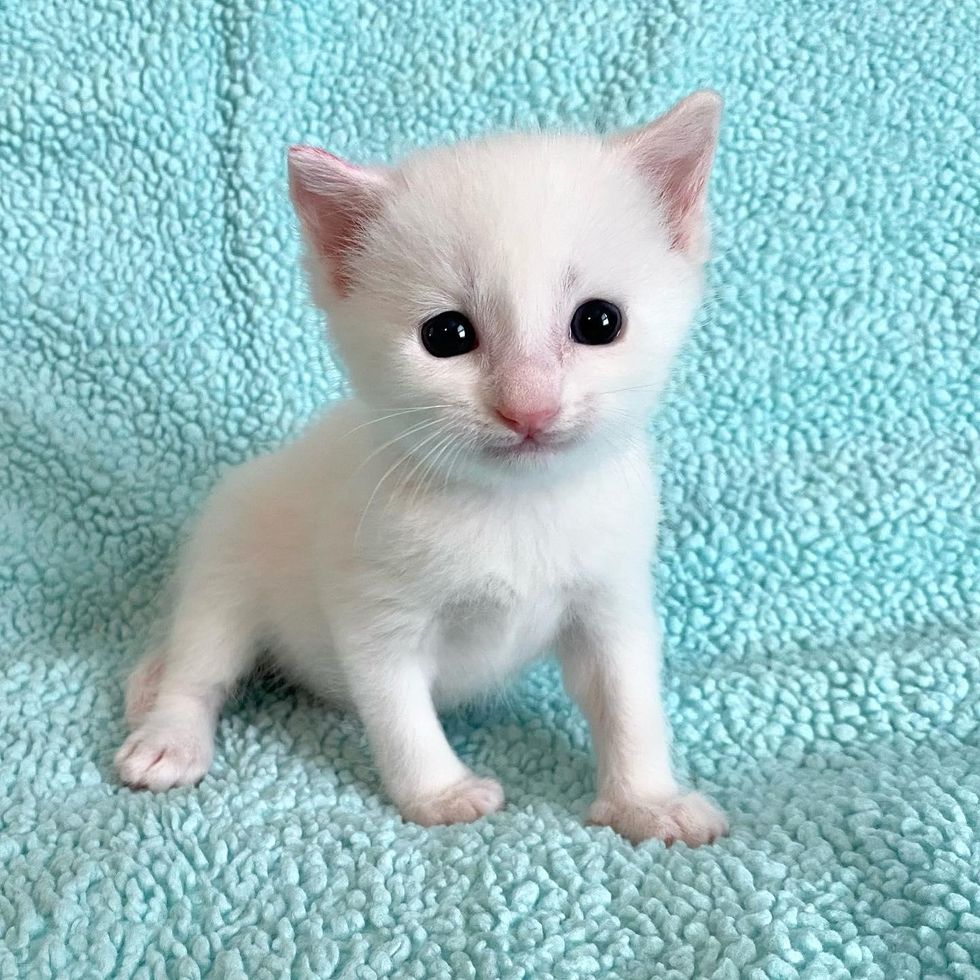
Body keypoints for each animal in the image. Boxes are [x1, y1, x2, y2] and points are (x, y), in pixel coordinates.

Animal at [115, 88, 728, 848]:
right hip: (222, 565)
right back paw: (169, 734)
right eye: (447, 335)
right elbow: (400, 713)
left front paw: (646, 801)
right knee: (200, 667)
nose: (529, 406)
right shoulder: (376, 613)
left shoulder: (611, 599)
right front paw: (439, 793)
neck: (510, 504)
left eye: (598, 322)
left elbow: (628, 700)